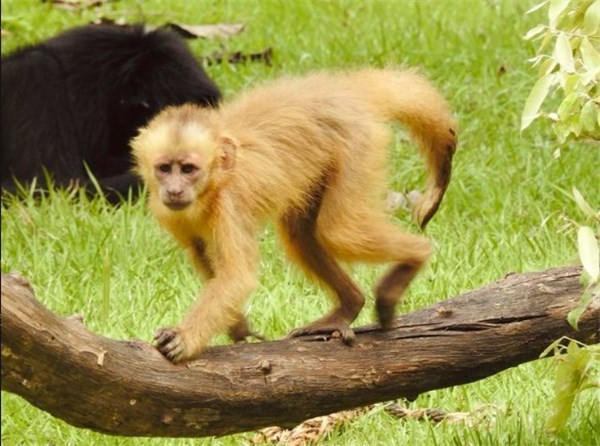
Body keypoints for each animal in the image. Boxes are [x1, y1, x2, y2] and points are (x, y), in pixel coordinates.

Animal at [131, 69, 458, 362]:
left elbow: (237, 277)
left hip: (357, 141)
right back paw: (349, 305)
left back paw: (417, 254)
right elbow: (203, 255)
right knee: (302, 235)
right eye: (164, 169)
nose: (174, 189)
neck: (213, 186)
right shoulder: (166, 210)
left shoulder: (230, 205)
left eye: (188, 169)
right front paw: (237, 327)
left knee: (340, 231)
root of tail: (345, 93)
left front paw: (185, 338)